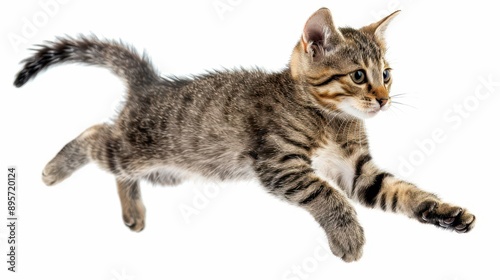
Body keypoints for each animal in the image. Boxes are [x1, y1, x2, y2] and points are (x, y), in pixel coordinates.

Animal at [12, 8, 472, 262]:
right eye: (359, 76)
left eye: (387, 75)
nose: (383, 99)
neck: (331, 118)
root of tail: (149, 84)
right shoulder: (279, 163)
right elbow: (326, 193)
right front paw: (347, 235)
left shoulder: (357, 170)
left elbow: (400, 191)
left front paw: (445, 212)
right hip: (136, 149)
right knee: (96, 134)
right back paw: (55, 169)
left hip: (167, 171)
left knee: (121, 169)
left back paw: (133, 211)